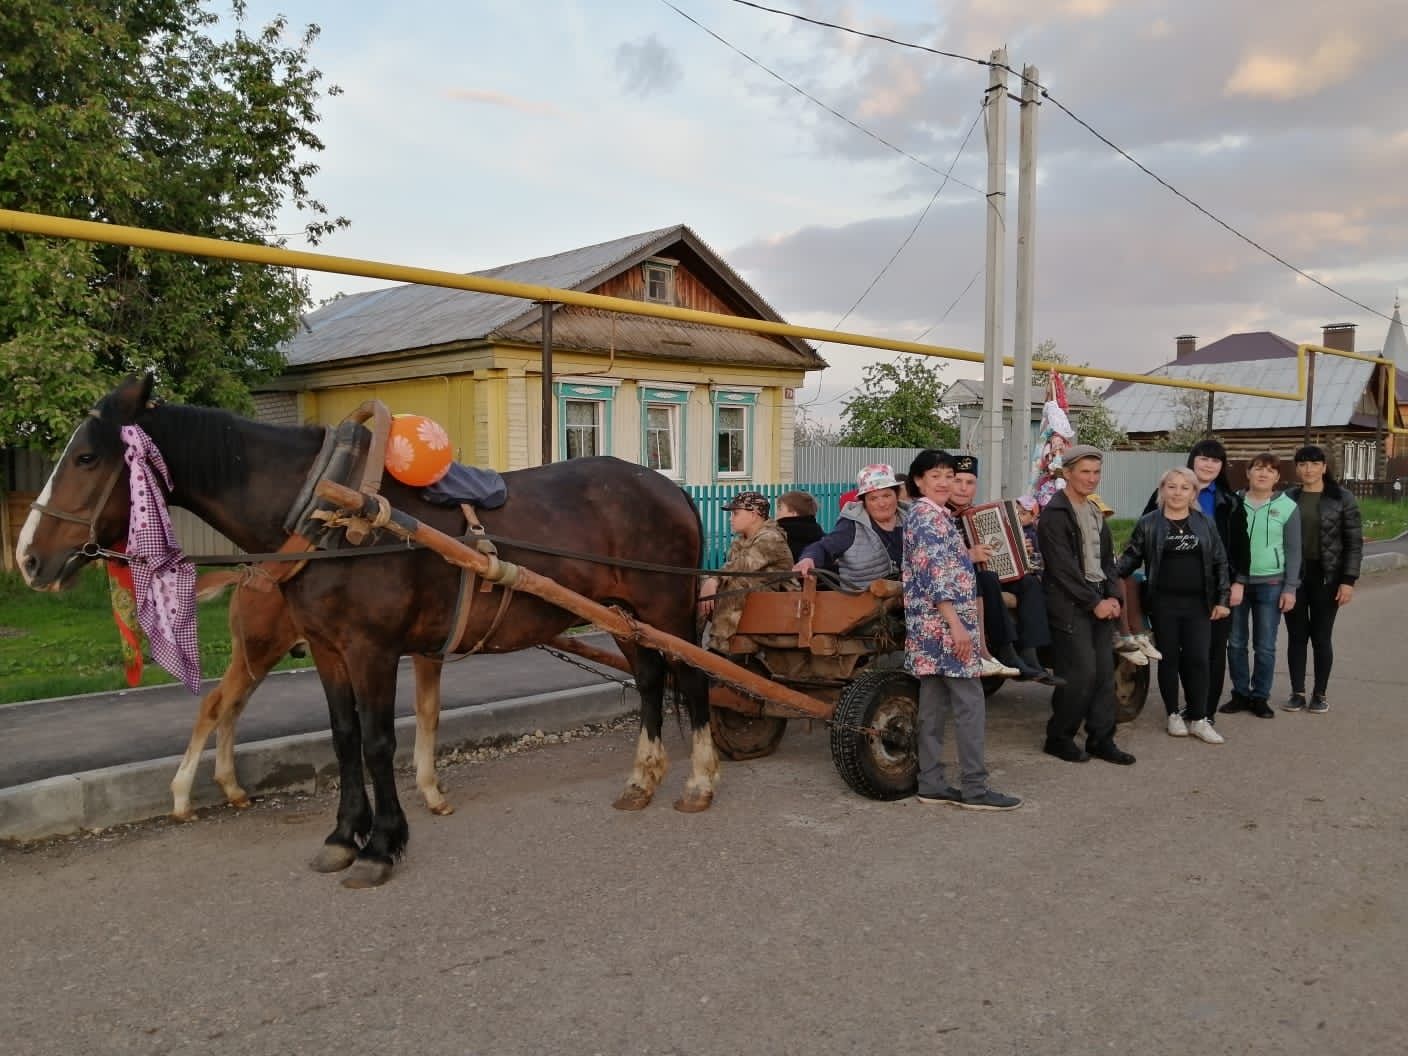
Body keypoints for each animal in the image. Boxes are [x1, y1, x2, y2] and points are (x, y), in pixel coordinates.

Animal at [19, 377, 726, 889]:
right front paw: (343, 837)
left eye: (86, 457)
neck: (330, 510)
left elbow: (381, 742)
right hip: (625, 613)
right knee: (650, 678)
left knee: (691, 679)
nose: (27, 558)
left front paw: (383, 845)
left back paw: (698, 782)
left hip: (664, 607)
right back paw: (642, 779)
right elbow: (345, 739)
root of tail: (669, 488)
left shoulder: (373, 651)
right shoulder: (328, 650)